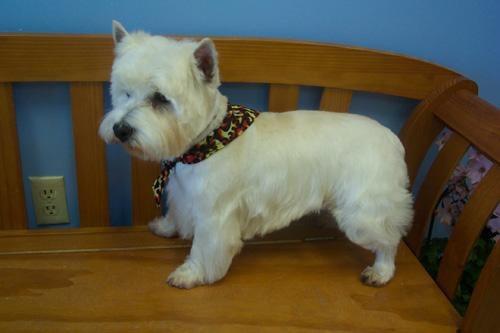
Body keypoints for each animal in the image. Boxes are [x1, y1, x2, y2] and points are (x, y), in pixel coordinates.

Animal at [98, 21, 414, 288]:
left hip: (364, 211)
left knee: (389, 239)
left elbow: (204, 247)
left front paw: (191, 274)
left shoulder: (215, 215)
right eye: (125, 92)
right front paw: (165, 227)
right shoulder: (183, 193)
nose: (120, 129)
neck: (205, 142)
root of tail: (393, 139)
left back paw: (381, 271)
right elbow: (175, 211)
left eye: (160, 99)